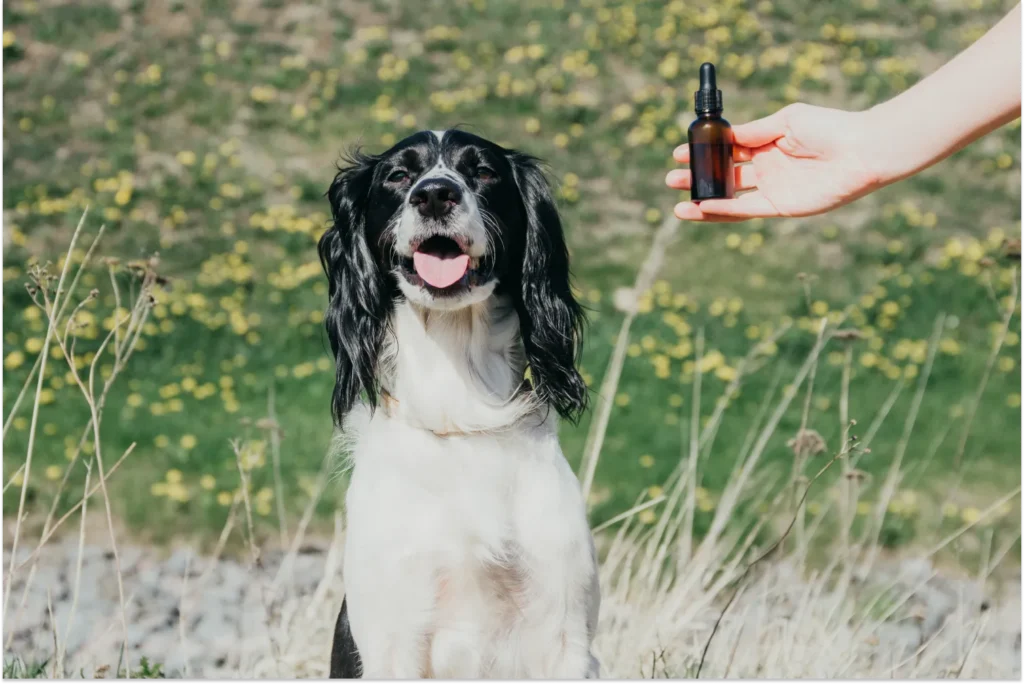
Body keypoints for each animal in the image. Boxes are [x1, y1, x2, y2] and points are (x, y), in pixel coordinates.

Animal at [319, 129, 598, 679]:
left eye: (483, 171)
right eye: (399, 175)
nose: (434, 194)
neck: (461, 414)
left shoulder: (563, 633)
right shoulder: (393, 636)